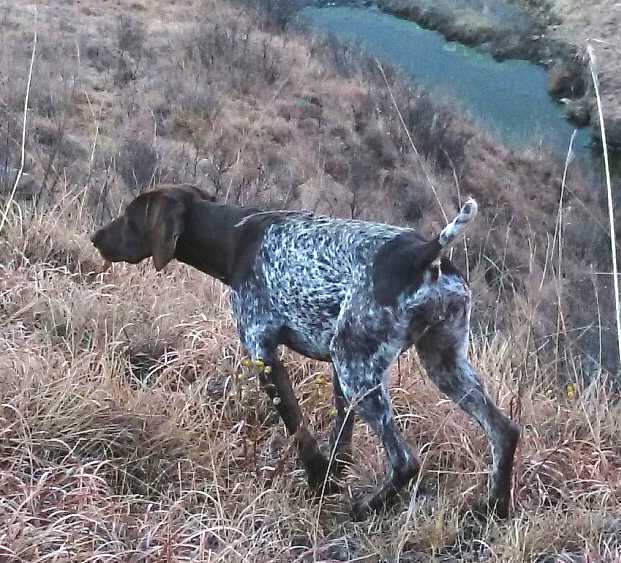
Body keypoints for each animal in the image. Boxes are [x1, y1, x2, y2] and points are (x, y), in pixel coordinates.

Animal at [91, 185, 520, 520]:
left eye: (130, 216)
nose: (96, 237)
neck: (236, 240)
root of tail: (426, 255)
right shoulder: (335, 369)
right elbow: (340, 439)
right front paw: (332, 475)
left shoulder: (264, 352)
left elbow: (299, 430)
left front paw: (317, 481)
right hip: (439, 364)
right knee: (504, 431)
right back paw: (493, 508)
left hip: (360, 372)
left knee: (405, 461)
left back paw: (365, 508)